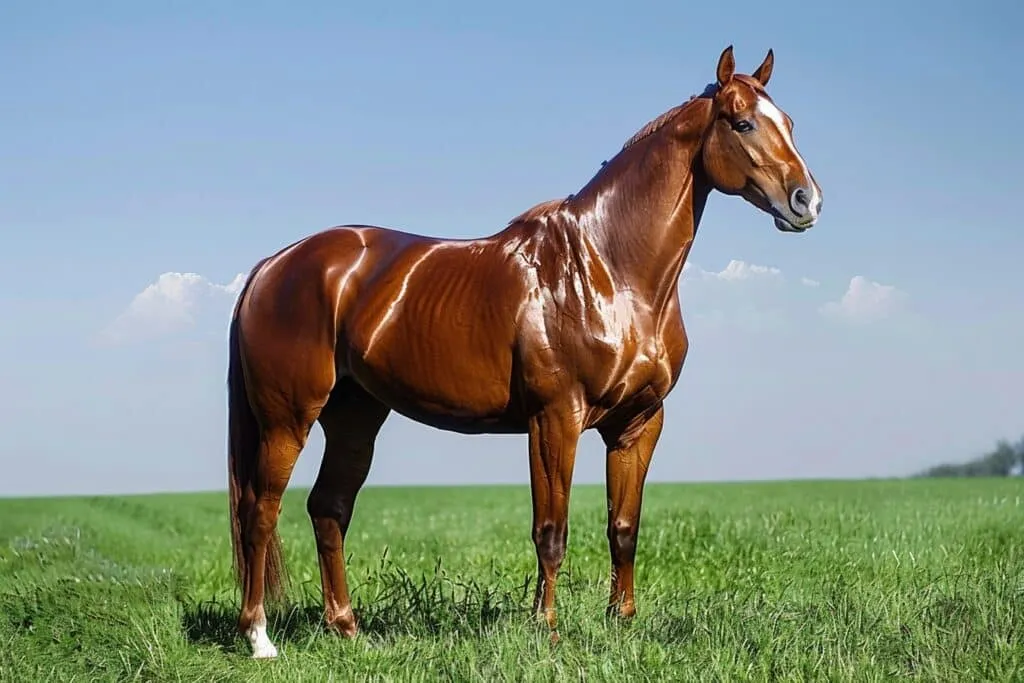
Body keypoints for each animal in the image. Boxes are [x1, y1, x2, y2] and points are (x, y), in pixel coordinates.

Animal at [226, 45, 822, 658]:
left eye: (789, 122)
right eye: (742, 122)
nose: (806, 201)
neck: (610, 269)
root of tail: (274, 265)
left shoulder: (639, 422)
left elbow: (624, 527)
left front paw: (622, 622)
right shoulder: (554, 418)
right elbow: (551, 530)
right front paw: (547, 628)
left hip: (354, 416)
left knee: (328, 507)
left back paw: (347, 628)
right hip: (287, 420)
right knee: (260, 511)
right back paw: (259, 637)